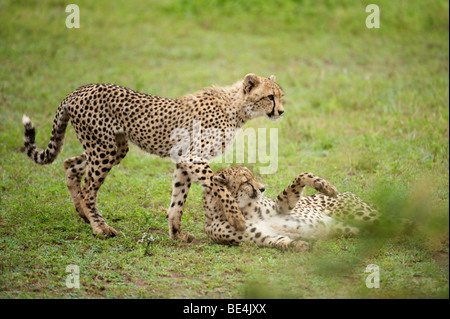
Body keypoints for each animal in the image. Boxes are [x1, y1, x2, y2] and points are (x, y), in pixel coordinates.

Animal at [21, 74, 284, 240]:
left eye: (281, 96)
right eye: (270, 97)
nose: (281, 111)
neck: (236, 107)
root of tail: (79, 90)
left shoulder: (184, 160)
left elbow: (178, 199)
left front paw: (177, 233)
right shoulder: (194, 157)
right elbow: (221, 188)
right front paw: (237, 220)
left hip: (111, 147)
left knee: (70, 164)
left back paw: (82, 213)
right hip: (104, 148)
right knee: (88, 189)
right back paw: (100, 228)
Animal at [205, 168, 380, 252]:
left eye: (253, 177)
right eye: (246, 182)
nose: (262, 189)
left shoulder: (282, 208)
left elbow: (300, 177)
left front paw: (325, 186)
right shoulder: (263, 237)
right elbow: (281, 242)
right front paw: (300, 246)